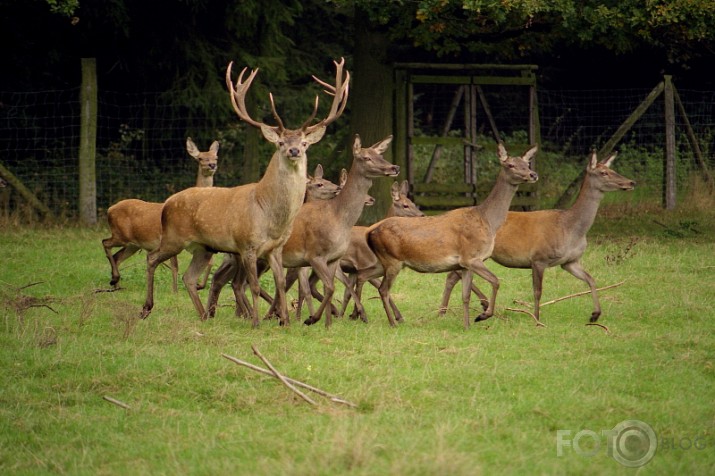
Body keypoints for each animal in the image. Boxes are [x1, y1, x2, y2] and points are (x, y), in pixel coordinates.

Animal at [100, 138, 218, 292]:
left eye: (216, 157)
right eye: (200, 158)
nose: (212, 165)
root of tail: (109, 209)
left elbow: (210, 261)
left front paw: (198, 286)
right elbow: (175, 266)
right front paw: (175, 291)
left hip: (133, 244)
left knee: (117, 256)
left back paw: (117, 286)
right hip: (120, 235)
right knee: (105, 243)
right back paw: (115, 279)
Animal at [141, 56, 350, 328]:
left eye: (304, 142)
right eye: (280, 142)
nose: (294, 150)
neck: (269, 215)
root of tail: (166, 203)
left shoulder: (275, 248)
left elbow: (280, 284)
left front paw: (284, 321)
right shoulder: (247, 245)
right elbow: (253, 285)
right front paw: (257, 323)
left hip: (203, 247)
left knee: (189, 277)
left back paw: (204, 316)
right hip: (173, 236)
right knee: (152, 258)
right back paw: (146, 307)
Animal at [207, 134, 400, 328]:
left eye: (380, 155)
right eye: (366, 157)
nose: (394, 167)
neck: (339, 220)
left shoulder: (334, 258)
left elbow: (329, 287)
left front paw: (327, 325)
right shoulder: (314, 255)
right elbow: (328, 287)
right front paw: (311, 319)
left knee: (229, 281)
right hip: (246, 253)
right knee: (238, 284)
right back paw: (252, 317)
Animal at [366, 142, 540, 328]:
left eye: (527, 163)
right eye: (511, 165)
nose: (533, 174)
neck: (488, 222)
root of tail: (370, 232)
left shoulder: (464, 264)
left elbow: (465, 296)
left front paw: (467, 325)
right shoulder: (471, 257)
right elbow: (496, 280)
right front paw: (483, 315)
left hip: (383, 262)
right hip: (392, 260)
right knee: (383, 289)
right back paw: (393, 322)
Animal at [440, 152, 636, 324]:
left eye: (612, 169)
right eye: (603, 173)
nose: (631, 182)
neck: (571, 229)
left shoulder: (570, 261)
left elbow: (590, 279)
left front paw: (595, 315)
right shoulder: (539, 258)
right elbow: (538, 291)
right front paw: (536, 318)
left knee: (453, 275)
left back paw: (446, 311)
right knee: (454, 273)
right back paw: (473, 306)